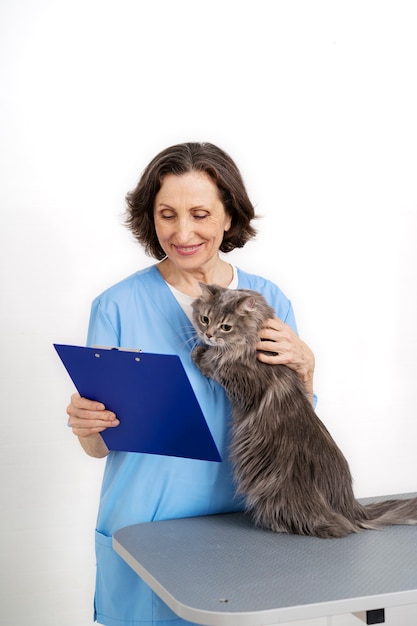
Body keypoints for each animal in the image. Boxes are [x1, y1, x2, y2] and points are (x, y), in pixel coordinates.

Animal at [191, 282, 416, 536]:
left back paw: (280, 525)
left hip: (278, 489)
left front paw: (201, 354)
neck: (251, 337)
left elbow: (215, 364)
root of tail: (348, 504)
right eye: (205, 319)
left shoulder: (242, 380)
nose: (207, 335)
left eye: (226, 327)